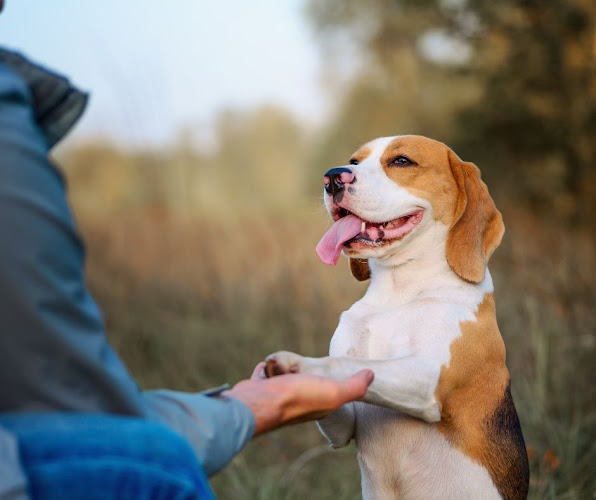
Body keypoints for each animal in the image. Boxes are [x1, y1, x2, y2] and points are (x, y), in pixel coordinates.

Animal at [268, 135, 528, 498]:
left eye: (402, 161)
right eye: (355, 161)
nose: (332, 177)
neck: (399, 291)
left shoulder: (427, 379)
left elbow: (348, 363)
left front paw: (299, 365)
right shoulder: (345, 425)